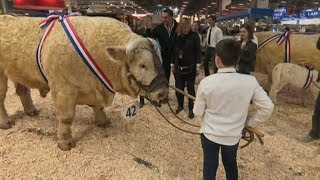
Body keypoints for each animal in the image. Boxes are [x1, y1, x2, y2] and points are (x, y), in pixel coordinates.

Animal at [0, 15, 169, 150]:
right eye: (142, 65)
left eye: (161, 60)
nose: (163, 92)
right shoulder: (63, 89)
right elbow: (66, 117)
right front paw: (65, 142)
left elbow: (98, 107)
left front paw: (103, 121)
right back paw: (6, 122)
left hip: (18, 71)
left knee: (23, 91)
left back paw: (31, 111)